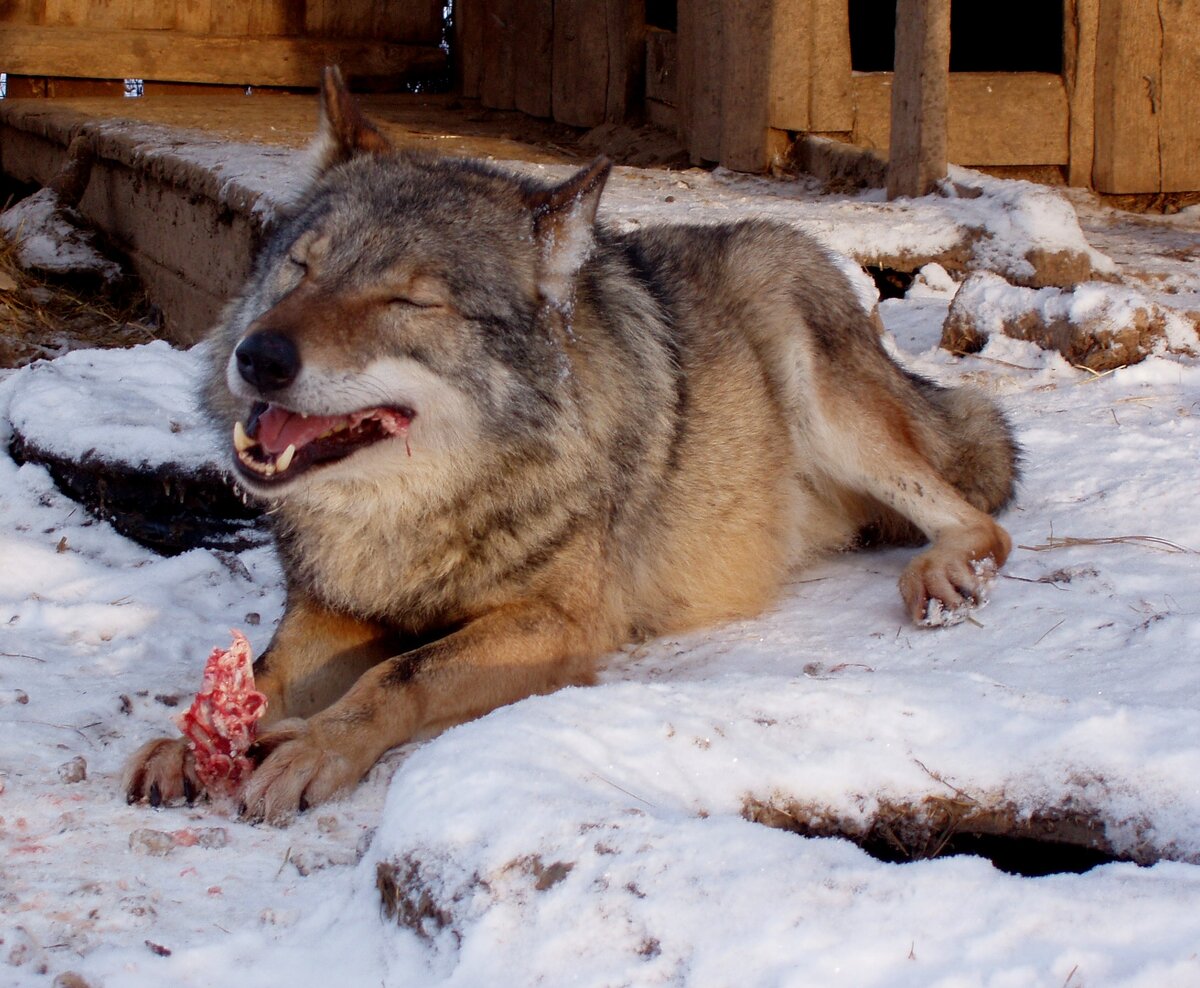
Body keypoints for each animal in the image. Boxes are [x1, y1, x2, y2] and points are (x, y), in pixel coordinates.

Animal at [126, 69, 1017, 821]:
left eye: (409, 301)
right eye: (300, 268)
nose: (260, 357)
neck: (413, 514)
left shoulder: (560, 625)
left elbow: (399, 674)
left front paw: (317, 745)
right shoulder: (337, 609)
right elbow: (269, 670)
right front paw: (190, 738)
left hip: (817, 377)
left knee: (982, 521)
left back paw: (941, 570)